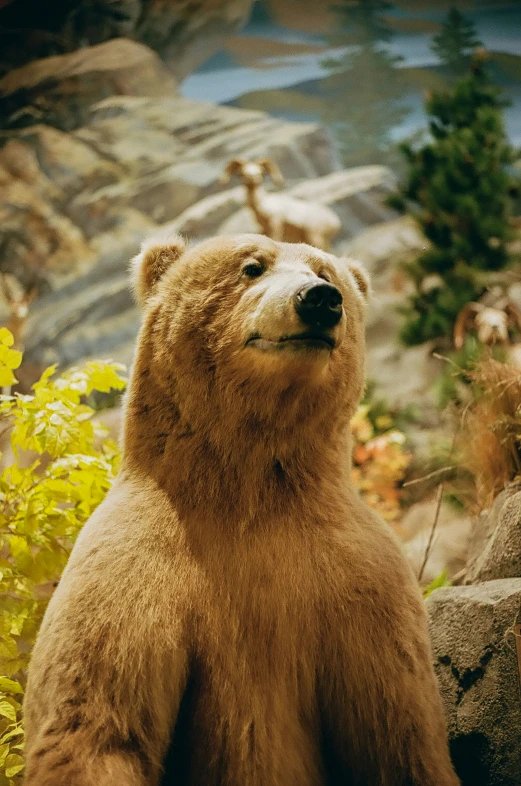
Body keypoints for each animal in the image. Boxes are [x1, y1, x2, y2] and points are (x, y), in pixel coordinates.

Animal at [22, 233, 458, 784]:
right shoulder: (132, 567)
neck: (247, 491)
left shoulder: (363, 581)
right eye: (252, 266)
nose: (319, 300)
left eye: (326, 273)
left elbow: (399, 731)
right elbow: (93, 723)